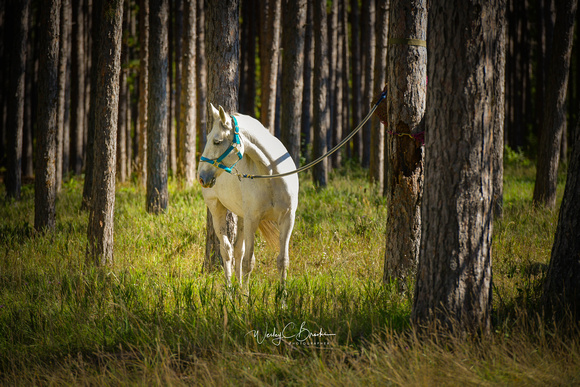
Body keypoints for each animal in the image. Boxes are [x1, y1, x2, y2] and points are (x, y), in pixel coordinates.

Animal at [198, 104, 300, 290]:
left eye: (216, 141)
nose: (201, 176)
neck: (271, 174)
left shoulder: (288, 218)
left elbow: (283, 261)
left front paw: (282, 296)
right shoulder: (253, 219)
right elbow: (248, 263)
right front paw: (246, 298)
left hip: (241, 215)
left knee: (238, 250)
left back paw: (237, 287)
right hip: (217, 209)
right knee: (227, 251)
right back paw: (230, 291)